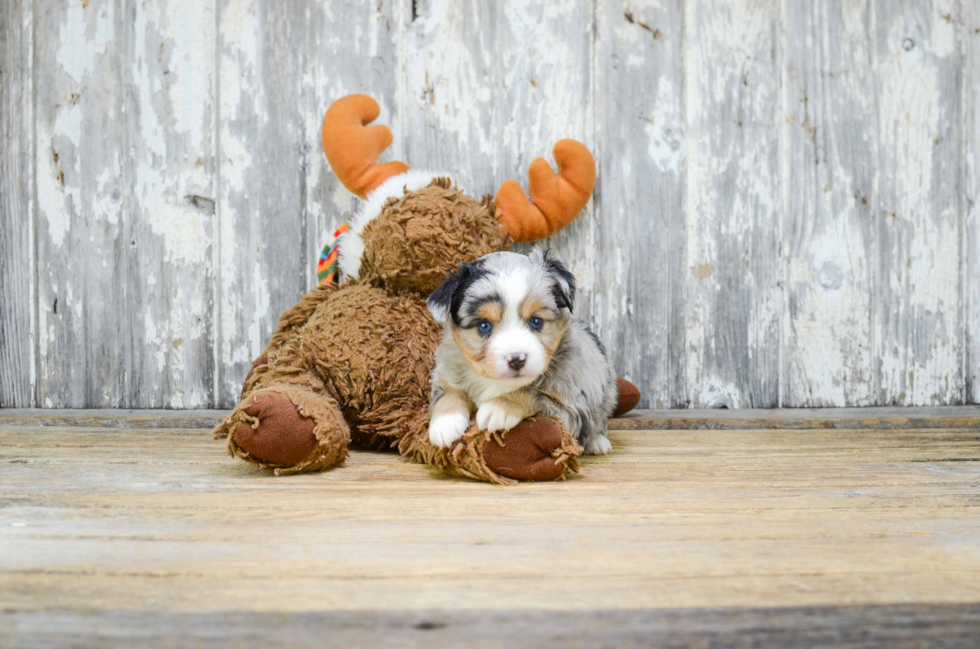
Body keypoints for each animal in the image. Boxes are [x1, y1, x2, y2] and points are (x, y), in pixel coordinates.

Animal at [424, 248, 616, 456]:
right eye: (484, 326)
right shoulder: (445, 374)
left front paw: (498, 407)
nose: (517, 359)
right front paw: (445, 423)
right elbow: (450, 393)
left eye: (536, 321)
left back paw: (598, 443)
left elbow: (532, 393)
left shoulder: (571, 408)